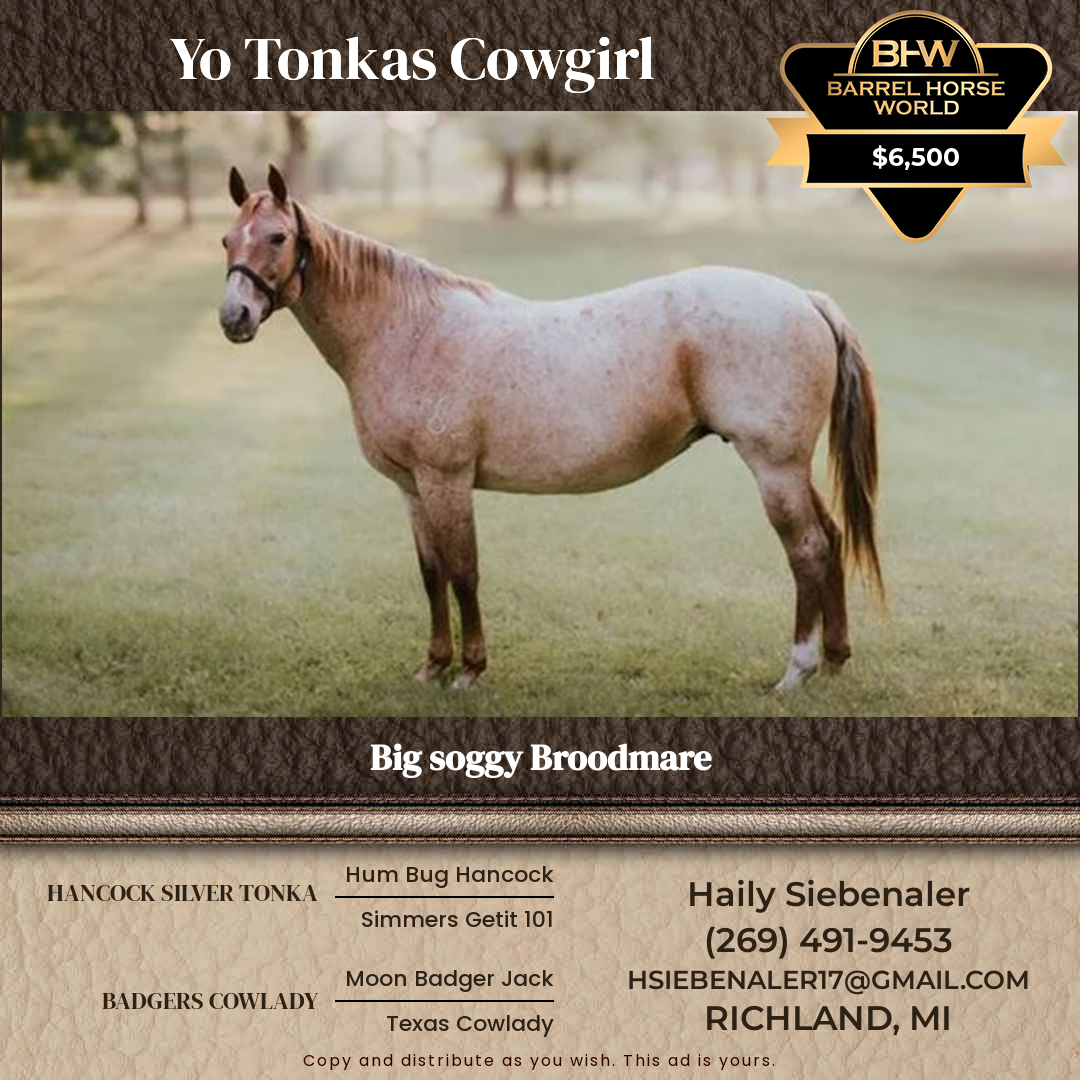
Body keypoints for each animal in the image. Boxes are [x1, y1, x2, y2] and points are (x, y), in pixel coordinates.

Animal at [219, 166, 882, 692]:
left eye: (277, 236)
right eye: (227, 239)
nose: (234, 317)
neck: (407, 331)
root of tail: (804, 297)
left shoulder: (446, 481)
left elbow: (464, 573)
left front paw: (470, 670)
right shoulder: (412, 487)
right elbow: (432, 575)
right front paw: (433, 666)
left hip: (773, 465)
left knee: (807, 549)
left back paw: (797, 671)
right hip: (790, 466)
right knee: (830, 539)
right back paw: (836, 658)